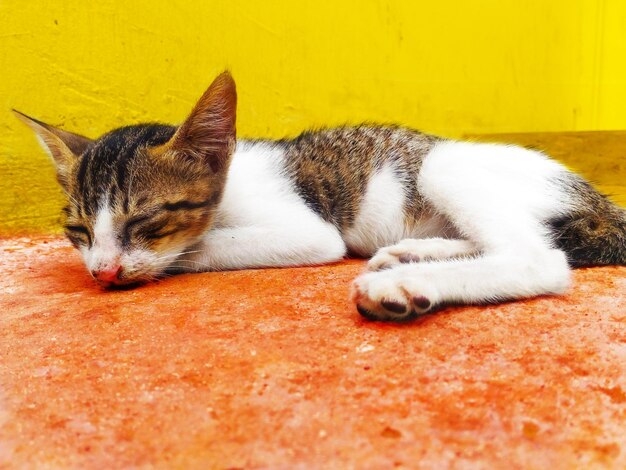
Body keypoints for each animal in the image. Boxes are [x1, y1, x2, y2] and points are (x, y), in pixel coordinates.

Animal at [14, 71, 624, 322]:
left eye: (145, 221)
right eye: (78, 231)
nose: (102, 271)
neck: (230, 185)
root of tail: (597, 199)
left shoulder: (309, 231)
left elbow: (195, 250)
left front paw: (160, 262)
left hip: (442, 165)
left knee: (539, 258)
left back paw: (407, 283)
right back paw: (413, 255)